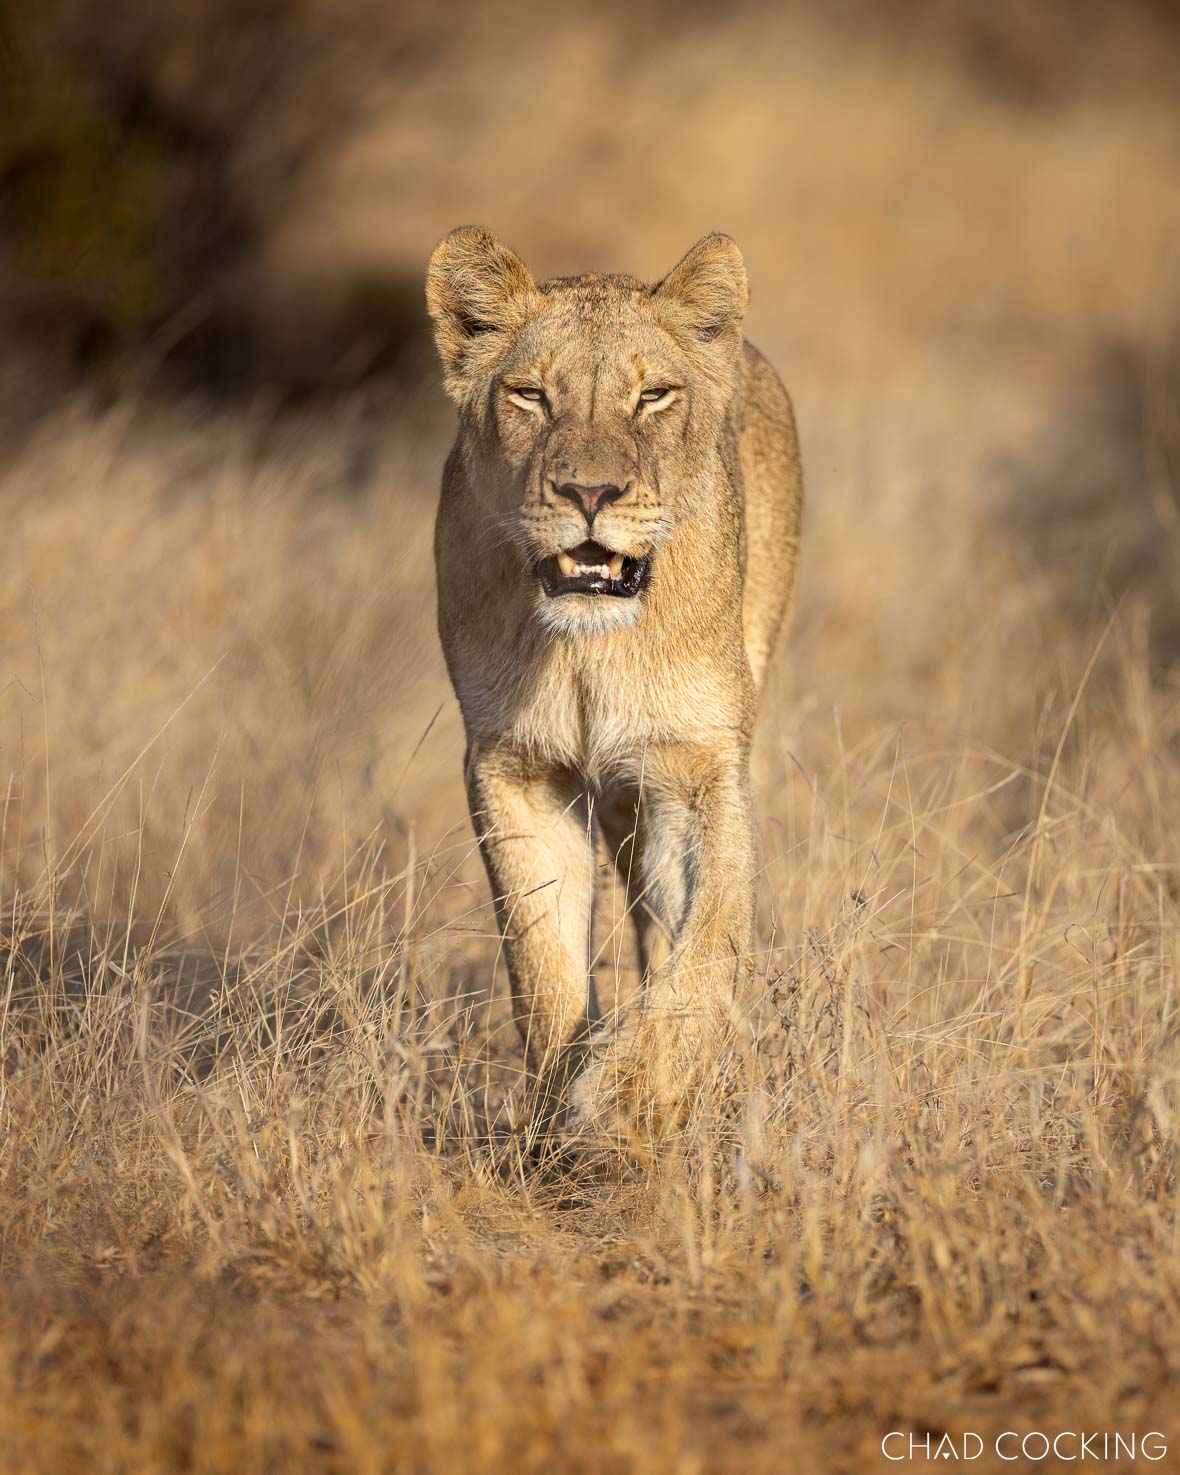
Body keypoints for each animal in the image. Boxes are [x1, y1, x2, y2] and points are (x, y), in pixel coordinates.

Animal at [425, 227, 802, 1136]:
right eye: (530, 395)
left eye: (653, 396)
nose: (589, 492)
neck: (588, 650)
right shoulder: (513, 765)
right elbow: (540, 955)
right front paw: (559, 1107)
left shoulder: (701, 764)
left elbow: (710, 936)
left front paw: (628, 1092)